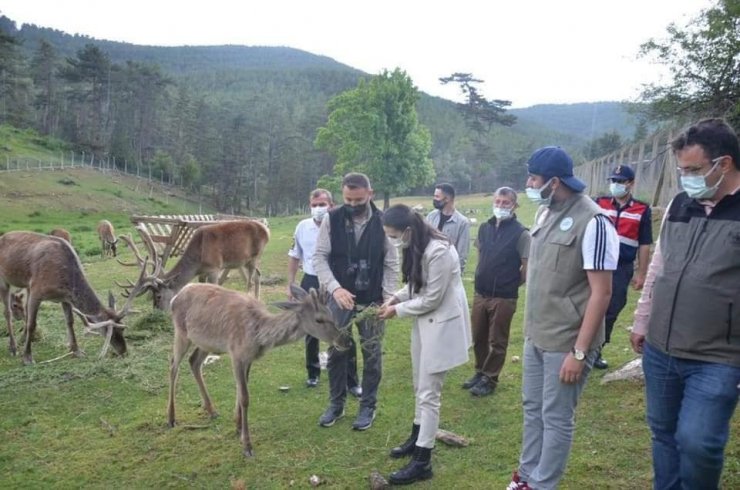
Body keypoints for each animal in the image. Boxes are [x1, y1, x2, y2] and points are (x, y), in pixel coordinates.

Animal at [0, 231, 149, 364]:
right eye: (107, 330)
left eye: (123, 328)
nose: (124, 351)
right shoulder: (37, 291)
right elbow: (32, 324)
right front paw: (27, 357)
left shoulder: (63, 298)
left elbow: (70, 322)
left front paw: (76, 350)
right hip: (6, 281)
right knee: (7, 312)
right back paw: (13, 348)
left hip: (27, 285)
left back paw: (20, 341)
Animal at [120, 221, 270, 312]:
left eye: (158, 296)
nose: (157, 312)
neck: (198, 260)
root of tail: (267, 231)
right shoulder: (202, 272)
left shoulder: (215, 267)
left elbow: (214, 287)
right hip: (248, 261)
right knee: (258, 275)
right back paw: (257, 299)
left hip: (255, 256)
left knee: (251, 280)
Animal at [168, 282, 346, 458]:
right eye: (319, 319)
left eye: (332, 313)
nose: (345, 341)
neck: (257, 337)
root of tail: (174, 298)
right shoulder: (236, 354)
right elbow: (245, 397)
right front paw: (247, 446)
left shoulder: (248, 359)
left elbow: (240, 391)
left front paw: (238, 426)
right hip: (181, 332)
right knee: (173, 366)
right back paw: (171, 418)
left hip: (205, 342)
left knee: (194, 361)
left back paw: (212, 411)